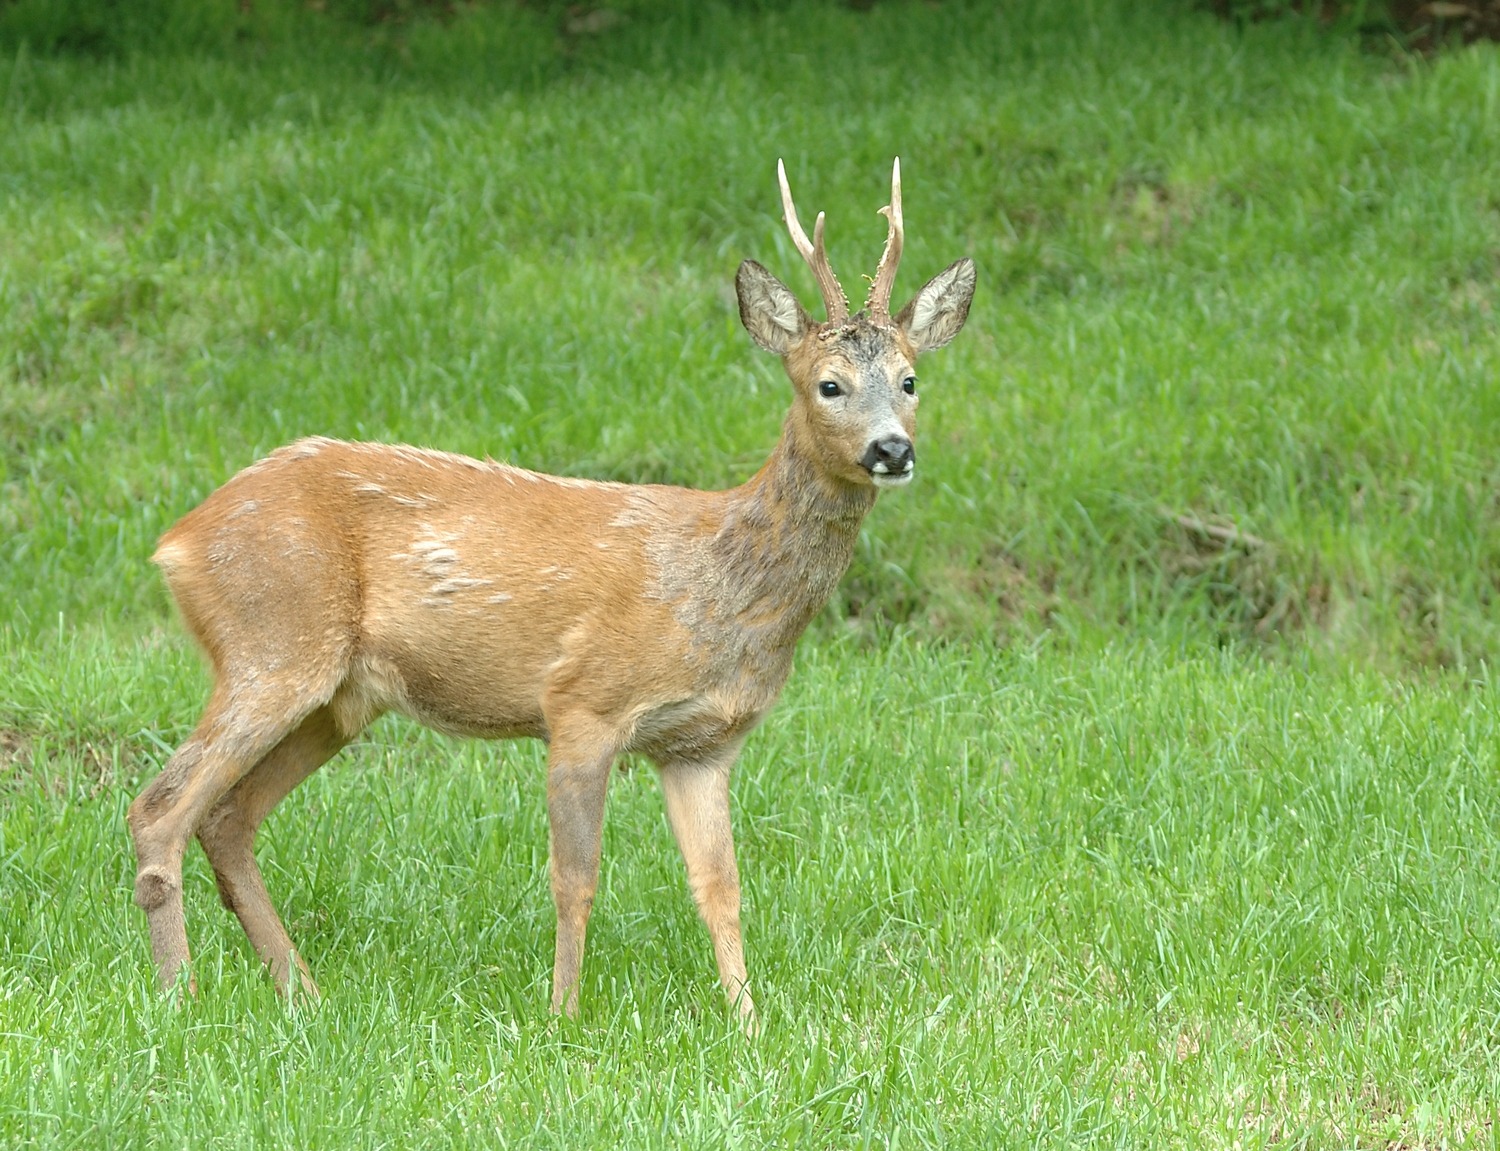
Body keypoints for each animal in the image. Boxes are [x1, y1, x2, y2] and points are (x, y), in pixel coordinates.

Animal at [126, 159, 972, 1026]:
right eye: (829, 384)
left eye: (910, 379)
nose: (891, 449)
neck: (720, 590)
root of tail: (178, 540)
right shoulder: (581, 702)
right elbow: (576, 878)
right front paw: (563, 1012)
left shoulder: (702, 744)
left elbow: (721, 885)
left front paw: (748, 1019)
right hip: (272, 638)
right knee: (159, 805)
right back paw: (178, 993)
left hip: (339, 696)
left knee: (227, 816)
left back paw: (301, 989)